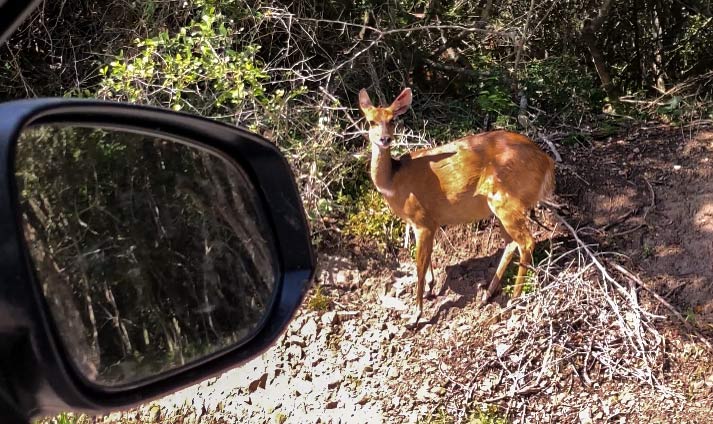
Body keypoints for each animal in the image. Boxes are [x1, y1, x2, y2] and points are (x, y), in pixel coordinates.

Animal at [358, 86, 552, 324]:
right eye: (370, 121)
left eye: (392, 119)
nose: (385, 139)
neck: (394, 182)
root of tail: (547, 163)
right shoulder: (423, 223)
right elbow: (427, 260)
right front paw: (431, 289)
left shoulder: (423, 220)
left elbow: (419, 266)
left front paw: (415, 315)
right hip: (499, 207)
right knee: (511, 243)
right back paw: (487, 295)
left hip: (506, 199)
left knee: (526, 242)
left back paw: (514, 299)